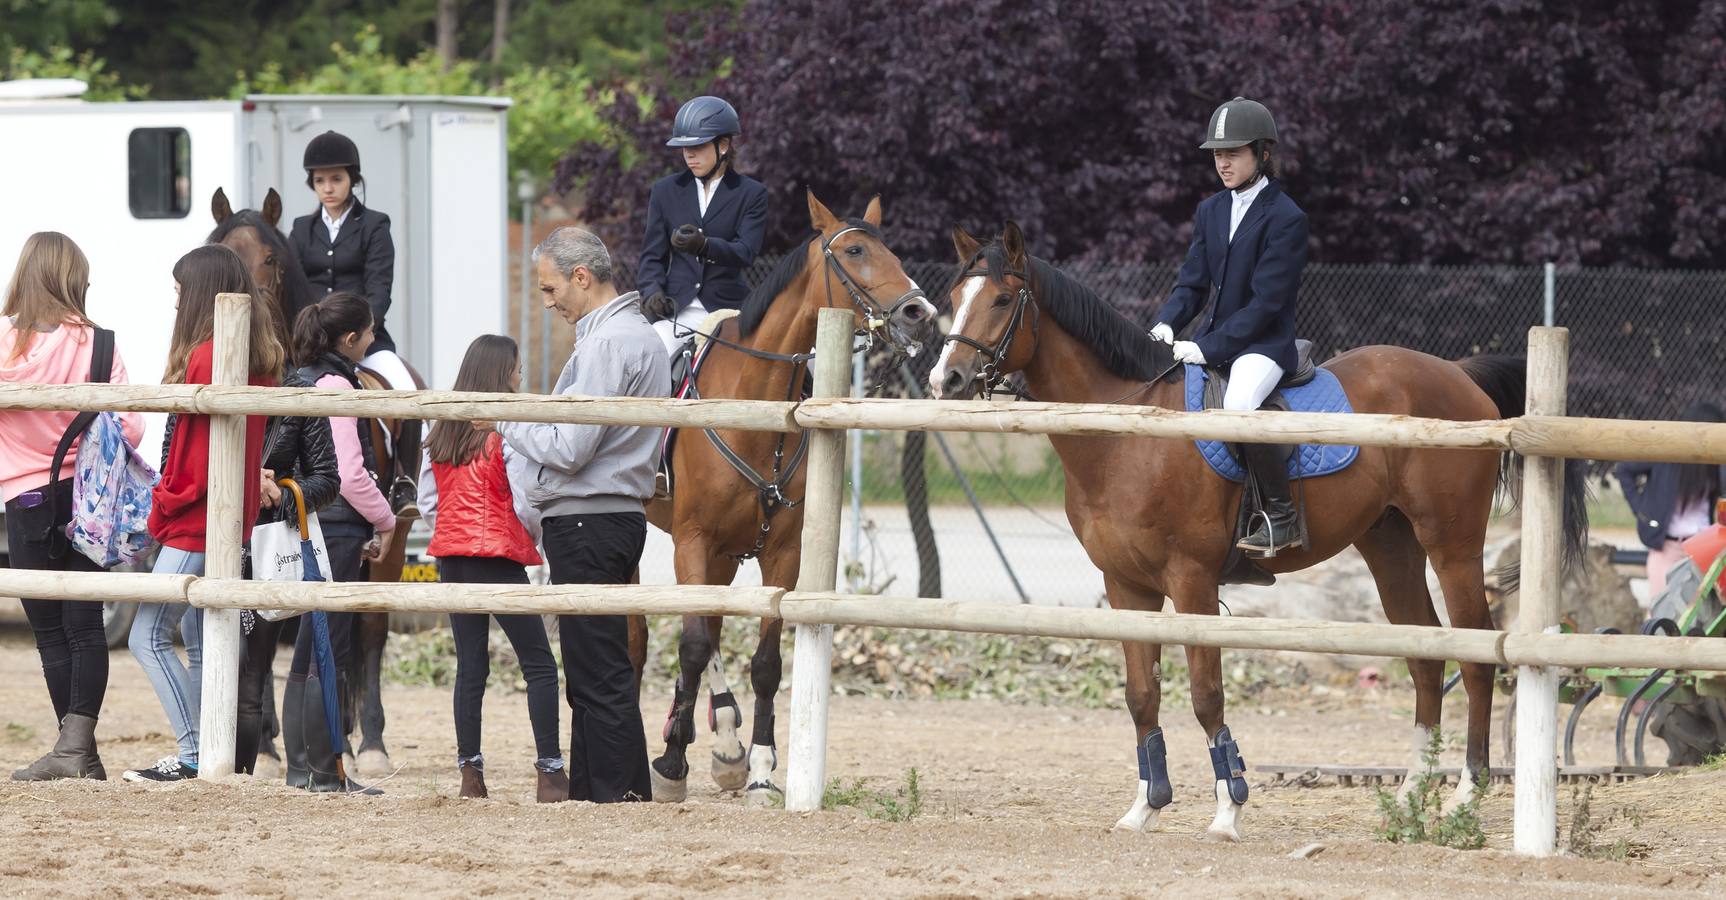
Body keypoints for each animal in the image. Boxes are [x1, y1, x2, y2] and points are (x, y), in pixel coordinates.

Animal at [210, 190, 415, 777]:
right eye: (220, 252)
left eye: (272, 260)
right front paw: (264, 747)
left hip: (391, 546)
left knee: (370, 631)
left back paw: (370, 744)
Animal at [648, 187, 938, 801]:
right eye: (854, 251)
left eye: (892, 249)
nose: (919, 314)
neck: (753, 411)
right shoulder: (692, 539)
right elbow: (691, 644)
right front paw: (672, 763)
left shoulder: (782, 552)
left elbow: (763, 663)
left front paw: (759, 767)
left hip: (725, 556)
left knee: (712, 628)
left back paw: (727, 745)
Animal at [925, 221, 1581, 839]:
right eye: (954, 295)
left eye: (1002, 299)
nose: (945, 380)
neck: (1127, 431)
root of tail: (1458, 373)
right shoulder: (1125, 586)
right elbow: (1142, 696)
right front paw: (1145, 807)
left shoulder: (1191, 581)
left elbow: (1205, 693)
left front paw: (1228, 809)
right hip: (1389, 546)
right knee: (1425, 657)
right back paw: (1410, 797)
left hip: (1452, 546)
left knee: (1477, 654)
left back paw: (1463, 796)